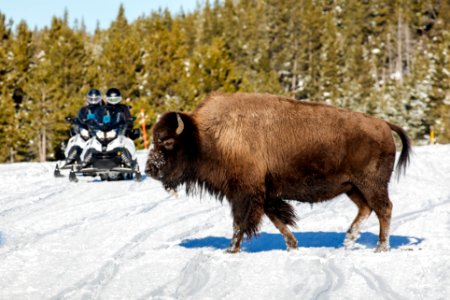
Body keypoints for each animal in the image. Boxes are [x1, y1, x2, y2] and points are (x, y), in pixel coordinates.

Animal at [146, 92, 410, 252]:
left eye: (167, 141)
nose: (150, 168)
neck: (205, 137)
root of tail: (384, 125)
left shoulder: (245, 193)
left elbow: (240, 223)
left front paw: (231, 250)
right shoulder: (266, 194)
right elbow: (277, 219)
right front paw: (293, 245)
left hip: (371, 184)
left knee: (384, 209)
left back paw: (380, 247)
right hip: (352, 187)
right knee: (366, 208)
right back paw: (348, 241)